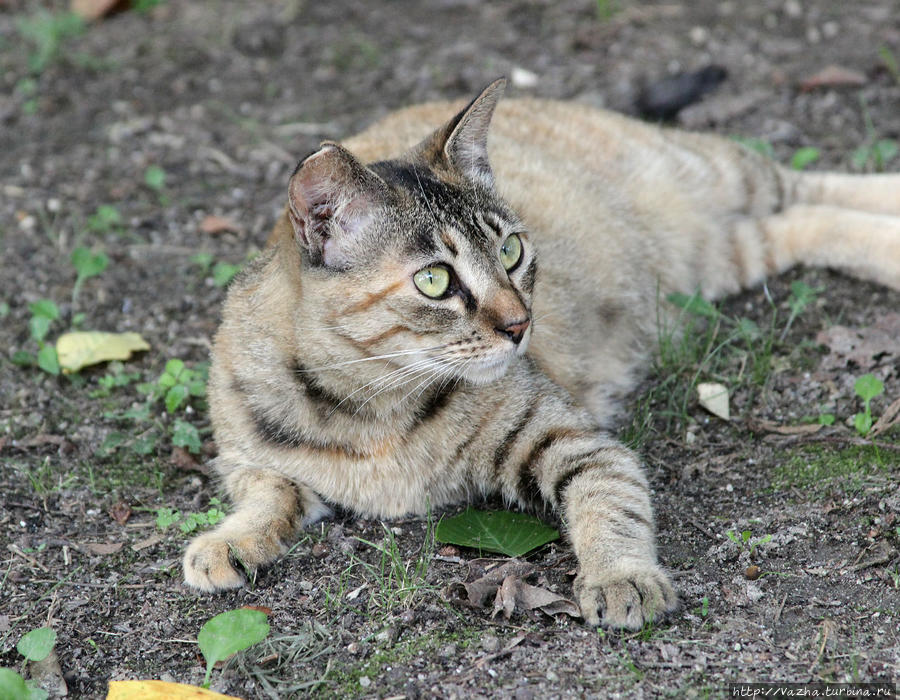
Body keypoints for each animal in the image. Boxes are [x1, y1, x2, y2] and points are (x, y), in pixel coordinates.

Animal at [183, 78, 900, 628]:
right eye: (435, 280)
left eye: (510, 250)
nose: (520, 324)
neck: (368, 411)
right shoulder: (249, 460)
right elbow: (268, 494)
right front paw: (230, 540)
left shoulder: (577, 444)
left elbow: (610, 504)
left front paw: (620, 576)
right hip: (726, 253)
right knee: (799, 222)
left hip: (721, 174)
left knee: (804, 181)